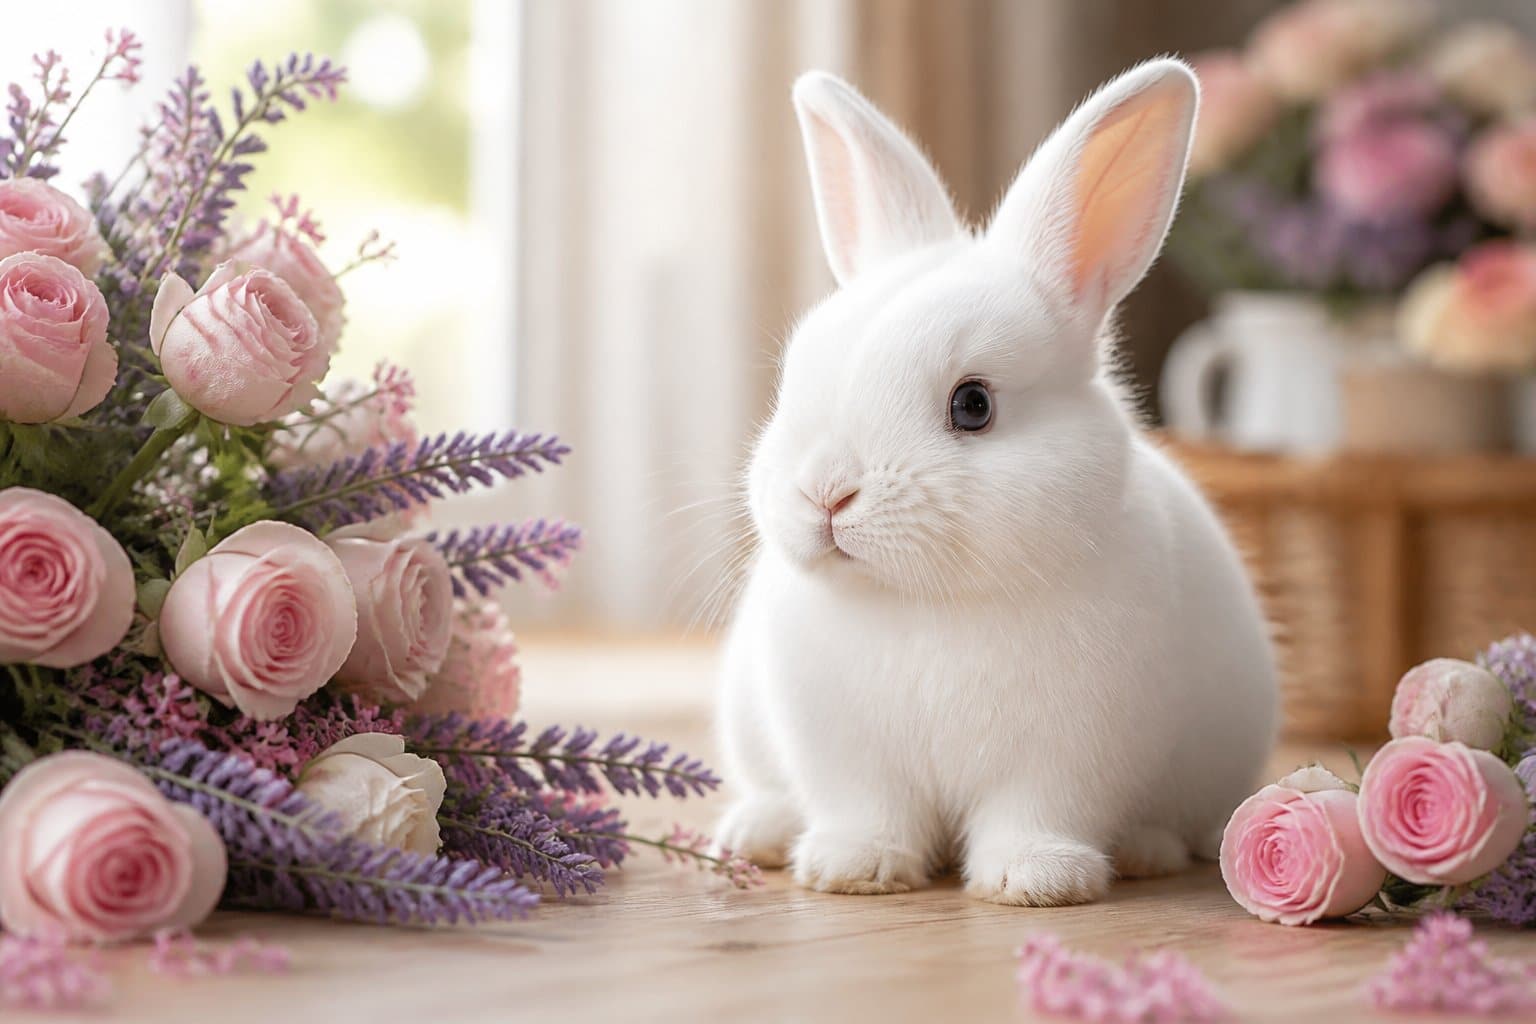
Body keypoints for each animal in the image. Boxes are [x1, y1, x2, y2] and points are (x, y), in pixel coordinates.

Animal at [712, 58, 1278, 907]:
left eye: (972, 405)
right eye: (796, 375)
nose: (827, 494)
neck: (925, 603)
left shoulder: (1072, 751)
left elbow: (1036, 812)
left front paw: (1035, 880)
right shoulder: (843, 750)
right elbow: (868, 808)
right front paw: (854, 867)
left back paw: (1145, 851)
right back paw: (757, 832)